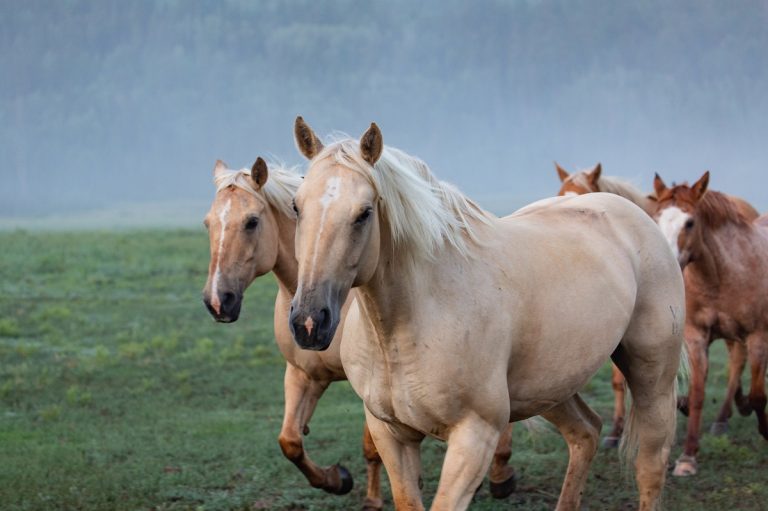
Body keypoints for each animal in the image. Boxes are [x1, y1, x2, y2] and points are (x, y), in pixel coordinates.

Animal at [201, 158, 384, 509]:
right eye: (207, 224)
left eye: (252, 221)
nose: (218, 301)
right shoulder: (304, 373)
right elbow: (290, 441)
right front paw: (336, 479)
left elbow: (373, 446)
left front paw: (372, 500)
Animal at [289, 117, 684, 511]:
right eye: (296, 207)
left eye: (364, 213)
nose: (309, 322)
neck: (405, 327)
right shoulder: (392, 435)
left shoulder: (473, 436)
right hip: (550, 386)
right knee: (585, 432)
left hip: (653, 378)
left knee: (650, 466)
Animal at [556, 162, 755, 442]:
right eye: (559, 194)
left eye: (584, 197)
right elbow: (618, 381)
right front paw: (615, 431)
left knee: (736, 360)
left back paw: (723, 417)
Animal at [651, 171, 768, 477]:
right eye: (656, 217)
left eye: (689, 222)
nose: (664, 266)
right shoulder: (697, 339)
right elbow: (698, 394)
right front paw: (687, 457)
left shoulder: (758, 338)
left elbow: (758, 395)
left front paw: (765, 430)